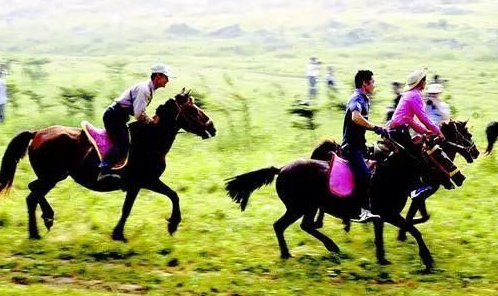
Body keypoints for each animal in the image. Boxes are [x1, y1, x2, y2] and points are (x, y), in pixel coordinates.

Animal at [0, 89, 217, 242]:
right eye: (192, 110)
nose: (212, 127)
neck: (150, 140)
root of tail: (36, 133)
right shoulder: (145, 182)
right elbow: (167, 197)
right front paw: (170, 225)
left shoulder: (140, 184)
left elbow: (163, 198)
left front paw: (119, 234)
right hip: (52, 176)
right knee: (33, 191)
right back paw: (46, 219)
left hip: (52, 177)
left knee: (32, 196)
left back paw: (36, 232)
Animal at [226, 136, 462, 270]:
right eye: (439, 156)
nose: (460, 177)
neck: (390, 175)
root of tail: (281, 169)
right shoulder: (389, 214)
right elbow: (414, 230)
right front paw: (428, 259)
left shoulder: (382, 216)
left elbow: (381, 236)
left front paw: (382, 259)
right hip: (299, 207)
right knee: (284, 225)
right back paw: (311, 250)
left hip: (307, 207)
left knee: (301, 225)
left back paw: (321, 249)